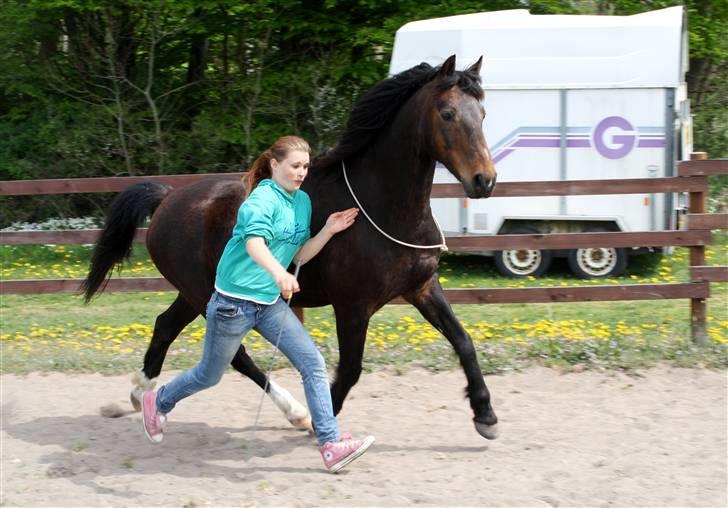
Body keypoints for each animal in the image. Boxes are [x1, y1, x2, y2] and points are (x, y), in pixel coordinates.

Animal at [82, 54, 498, 436]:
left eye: (482, 113)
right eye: (447, 113)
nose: (485, 180)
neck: (380, 206)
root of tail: (167, 197)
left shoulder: (422, 288)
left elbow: (463, 341)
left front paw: (485, 415)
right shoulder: (353, 306)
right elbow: (350, 369)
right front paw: (321, 420)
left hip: (197, 294)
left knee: (165, 326)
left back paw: (140, 395)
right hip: (207, 297)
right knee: (235, 357)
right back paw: (295, 412)